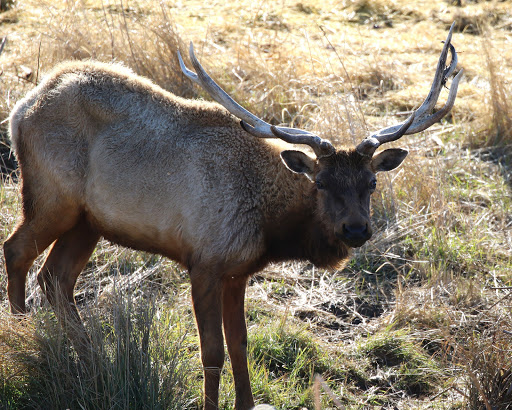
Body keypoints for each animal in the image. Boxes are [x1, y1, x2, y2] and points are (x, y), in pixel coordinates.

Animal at [3, 25, 460, 410]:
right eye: (321, 183)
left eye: (371, 182)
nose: (356, 228)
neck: (270, 227)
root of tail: (22, 107)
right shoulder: (204, 261)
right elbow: (212, 352)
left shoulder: (238, 271)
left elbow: (240, 344)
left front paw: (246, 402)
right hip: (51, 197)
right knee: (17, 250)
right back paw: (22, 334)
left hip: (87, 222)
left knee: (56, 278)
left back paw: (91, 361)